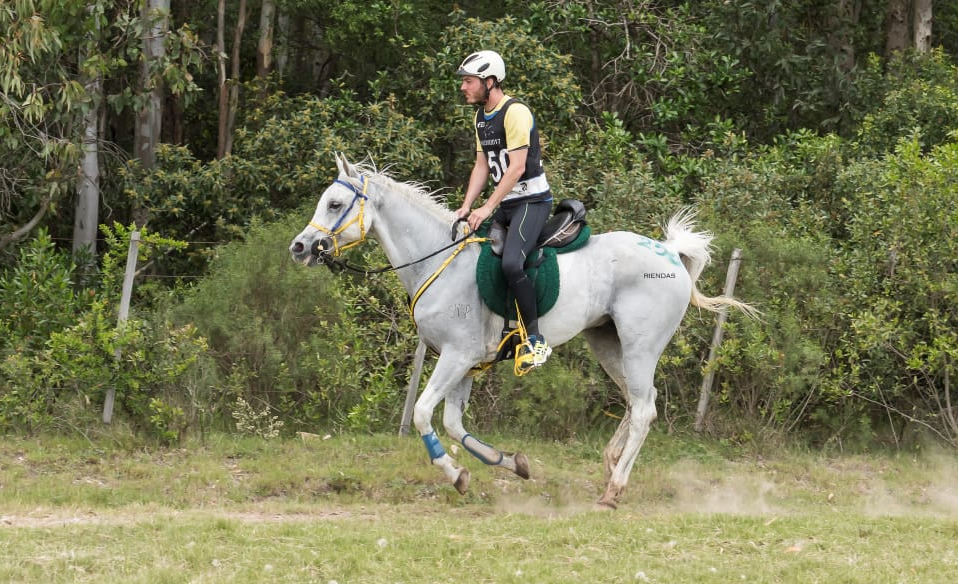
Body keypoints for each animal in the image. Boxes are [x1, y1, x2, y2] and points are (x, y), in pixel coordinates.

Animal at [288, 153, 752, 508]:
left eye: (334, 204)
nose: (300, 247)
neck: (439, 262)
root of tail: (670, 255)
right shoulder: (465, 363)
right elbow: (455, 426)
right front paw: (512, 464)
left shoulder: (456, 357)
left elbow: (422, 415)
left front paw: (454, 474)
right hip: (607, 344)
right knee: (642, 401)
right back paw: (609, 465)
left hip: (640, 348)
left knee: (642, 410)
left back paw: (614, 489)